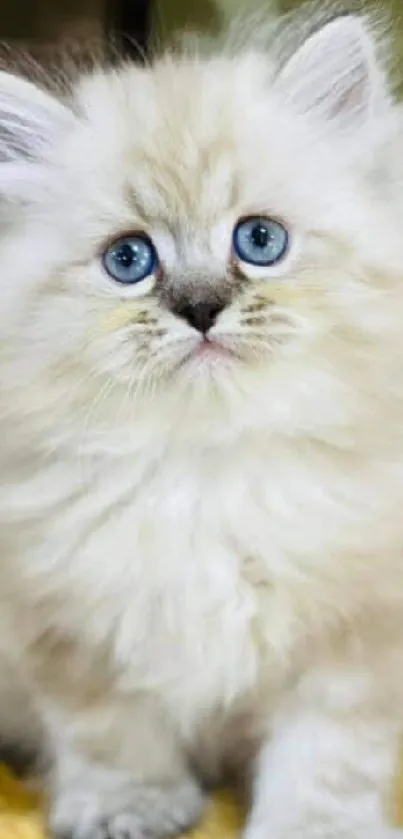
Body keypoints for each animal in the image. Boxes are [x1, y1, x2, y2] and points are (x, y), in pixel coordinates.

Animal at [0, 6, 403, 839]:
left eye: (259, 240)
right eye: (128, 259)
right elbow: (110, 732)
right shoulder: (64, 630)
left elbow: (327, 755)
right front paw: (131, 806)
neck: (204, 469)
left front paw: (316, 827)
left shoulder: (358, 635)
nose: (199, 308)